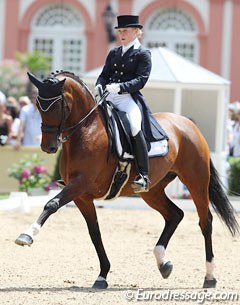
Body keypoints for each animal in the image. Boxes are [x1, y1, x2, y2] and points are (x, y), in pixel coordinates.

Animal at [15, 70, 238, 288]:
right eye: (38, 105)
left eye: (57, 106)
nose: (48, 147)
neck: (86, 129)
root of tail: (188, 123)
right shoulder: (82, 196)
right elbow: (94, 233)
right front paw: (102, 275)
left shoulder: (80, 184)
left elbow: (51, 204)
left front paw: (27, 235)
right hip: (152, 191)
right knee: (175, 215)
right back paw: (163, 263)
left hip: (196, 181)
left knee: (205, 221)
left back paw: (209, 276)